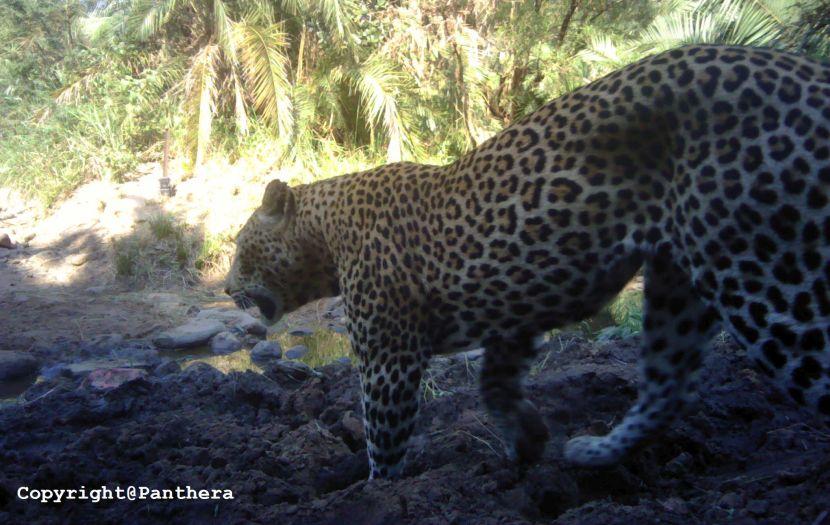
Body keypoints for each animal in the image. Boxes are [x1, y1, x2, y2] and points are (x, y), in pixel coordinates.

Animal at [226, 45, 830, 478]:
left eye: (237, 248)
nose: (228, 287)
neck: (325, 233)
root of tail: (806, 73)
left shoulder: (388, 357)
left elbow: (383, 436)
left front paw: (379, 488)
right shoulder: (510, 316)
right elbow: (495, 385)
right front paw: (528, 442)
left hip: (755, 271)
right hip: (676, 283)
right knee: (667, 387)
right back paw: (594, 452)